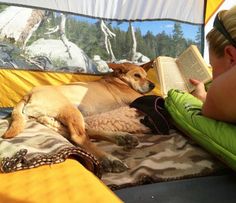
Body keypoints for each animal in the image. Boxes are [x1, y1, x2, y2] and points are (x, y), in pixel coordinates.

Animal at [2, 62, 156, 173]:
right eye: (137, 75)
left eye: (145, 75)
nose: (153, 85)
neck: (118, 80)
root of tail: (28, 94)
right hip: (70, 109)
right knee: (79, 137)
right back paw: (109, 159)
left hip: (57, 119)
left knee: (82, 133)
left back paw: (122, 138)